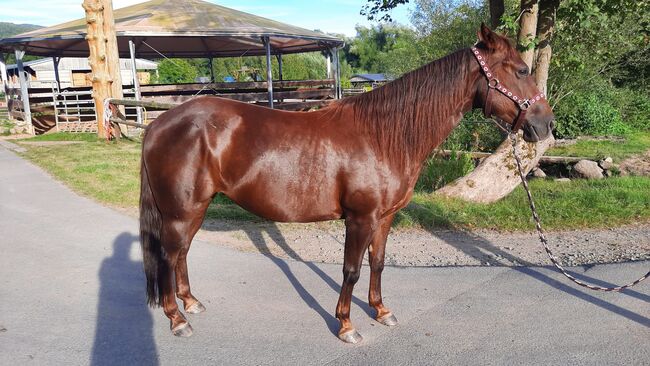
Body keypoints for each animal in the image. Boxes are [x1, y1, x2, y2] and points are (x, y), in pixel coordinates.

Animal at [138, 25, 552, 344]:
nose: (545, 124)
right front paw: (347, 325)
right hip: (181, 211)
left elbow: (378, 262)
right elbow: (351, 270)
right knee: (168, 255)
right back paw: (177, 319)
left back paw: (191, 303)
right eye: (520, 70)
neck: (383, 136)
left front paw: (381, 311)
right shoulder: (360, 218)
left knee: (181, 253)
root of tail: (160, 124)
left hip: (196, 208)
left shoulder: (384, 218)